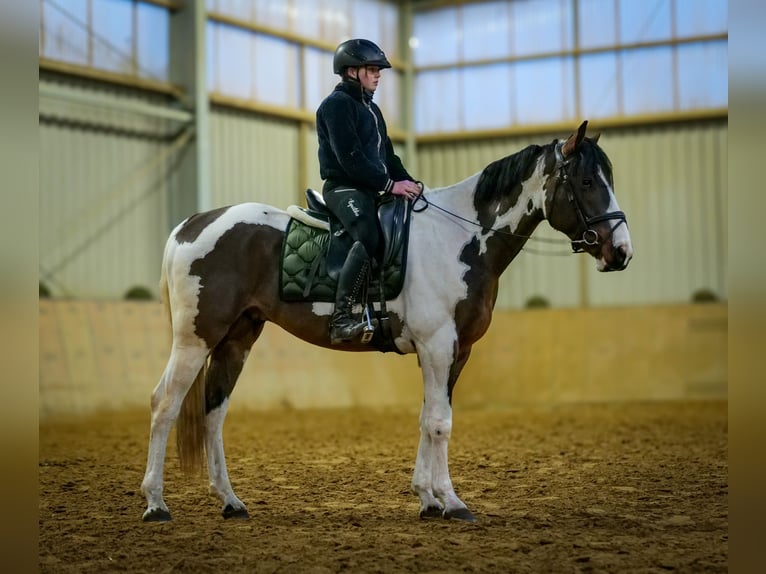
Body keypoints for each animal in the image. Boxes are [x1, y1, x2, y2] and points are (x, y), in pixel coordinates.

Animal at [141, 122, 632, 528]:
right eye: (587, 182)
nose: (621, 252)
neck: (460, 238)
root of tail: (193, 224)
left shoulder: (455, 351)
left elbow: (427, 418)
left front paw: (428, 499)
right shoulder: (438, 345)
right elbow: (440, 423)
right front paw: (452, 502)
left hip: (236, 339)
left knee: (214, 412)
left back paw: (230, 502)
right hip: (195, 339)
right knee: (165, 404)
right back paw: (156, 504)